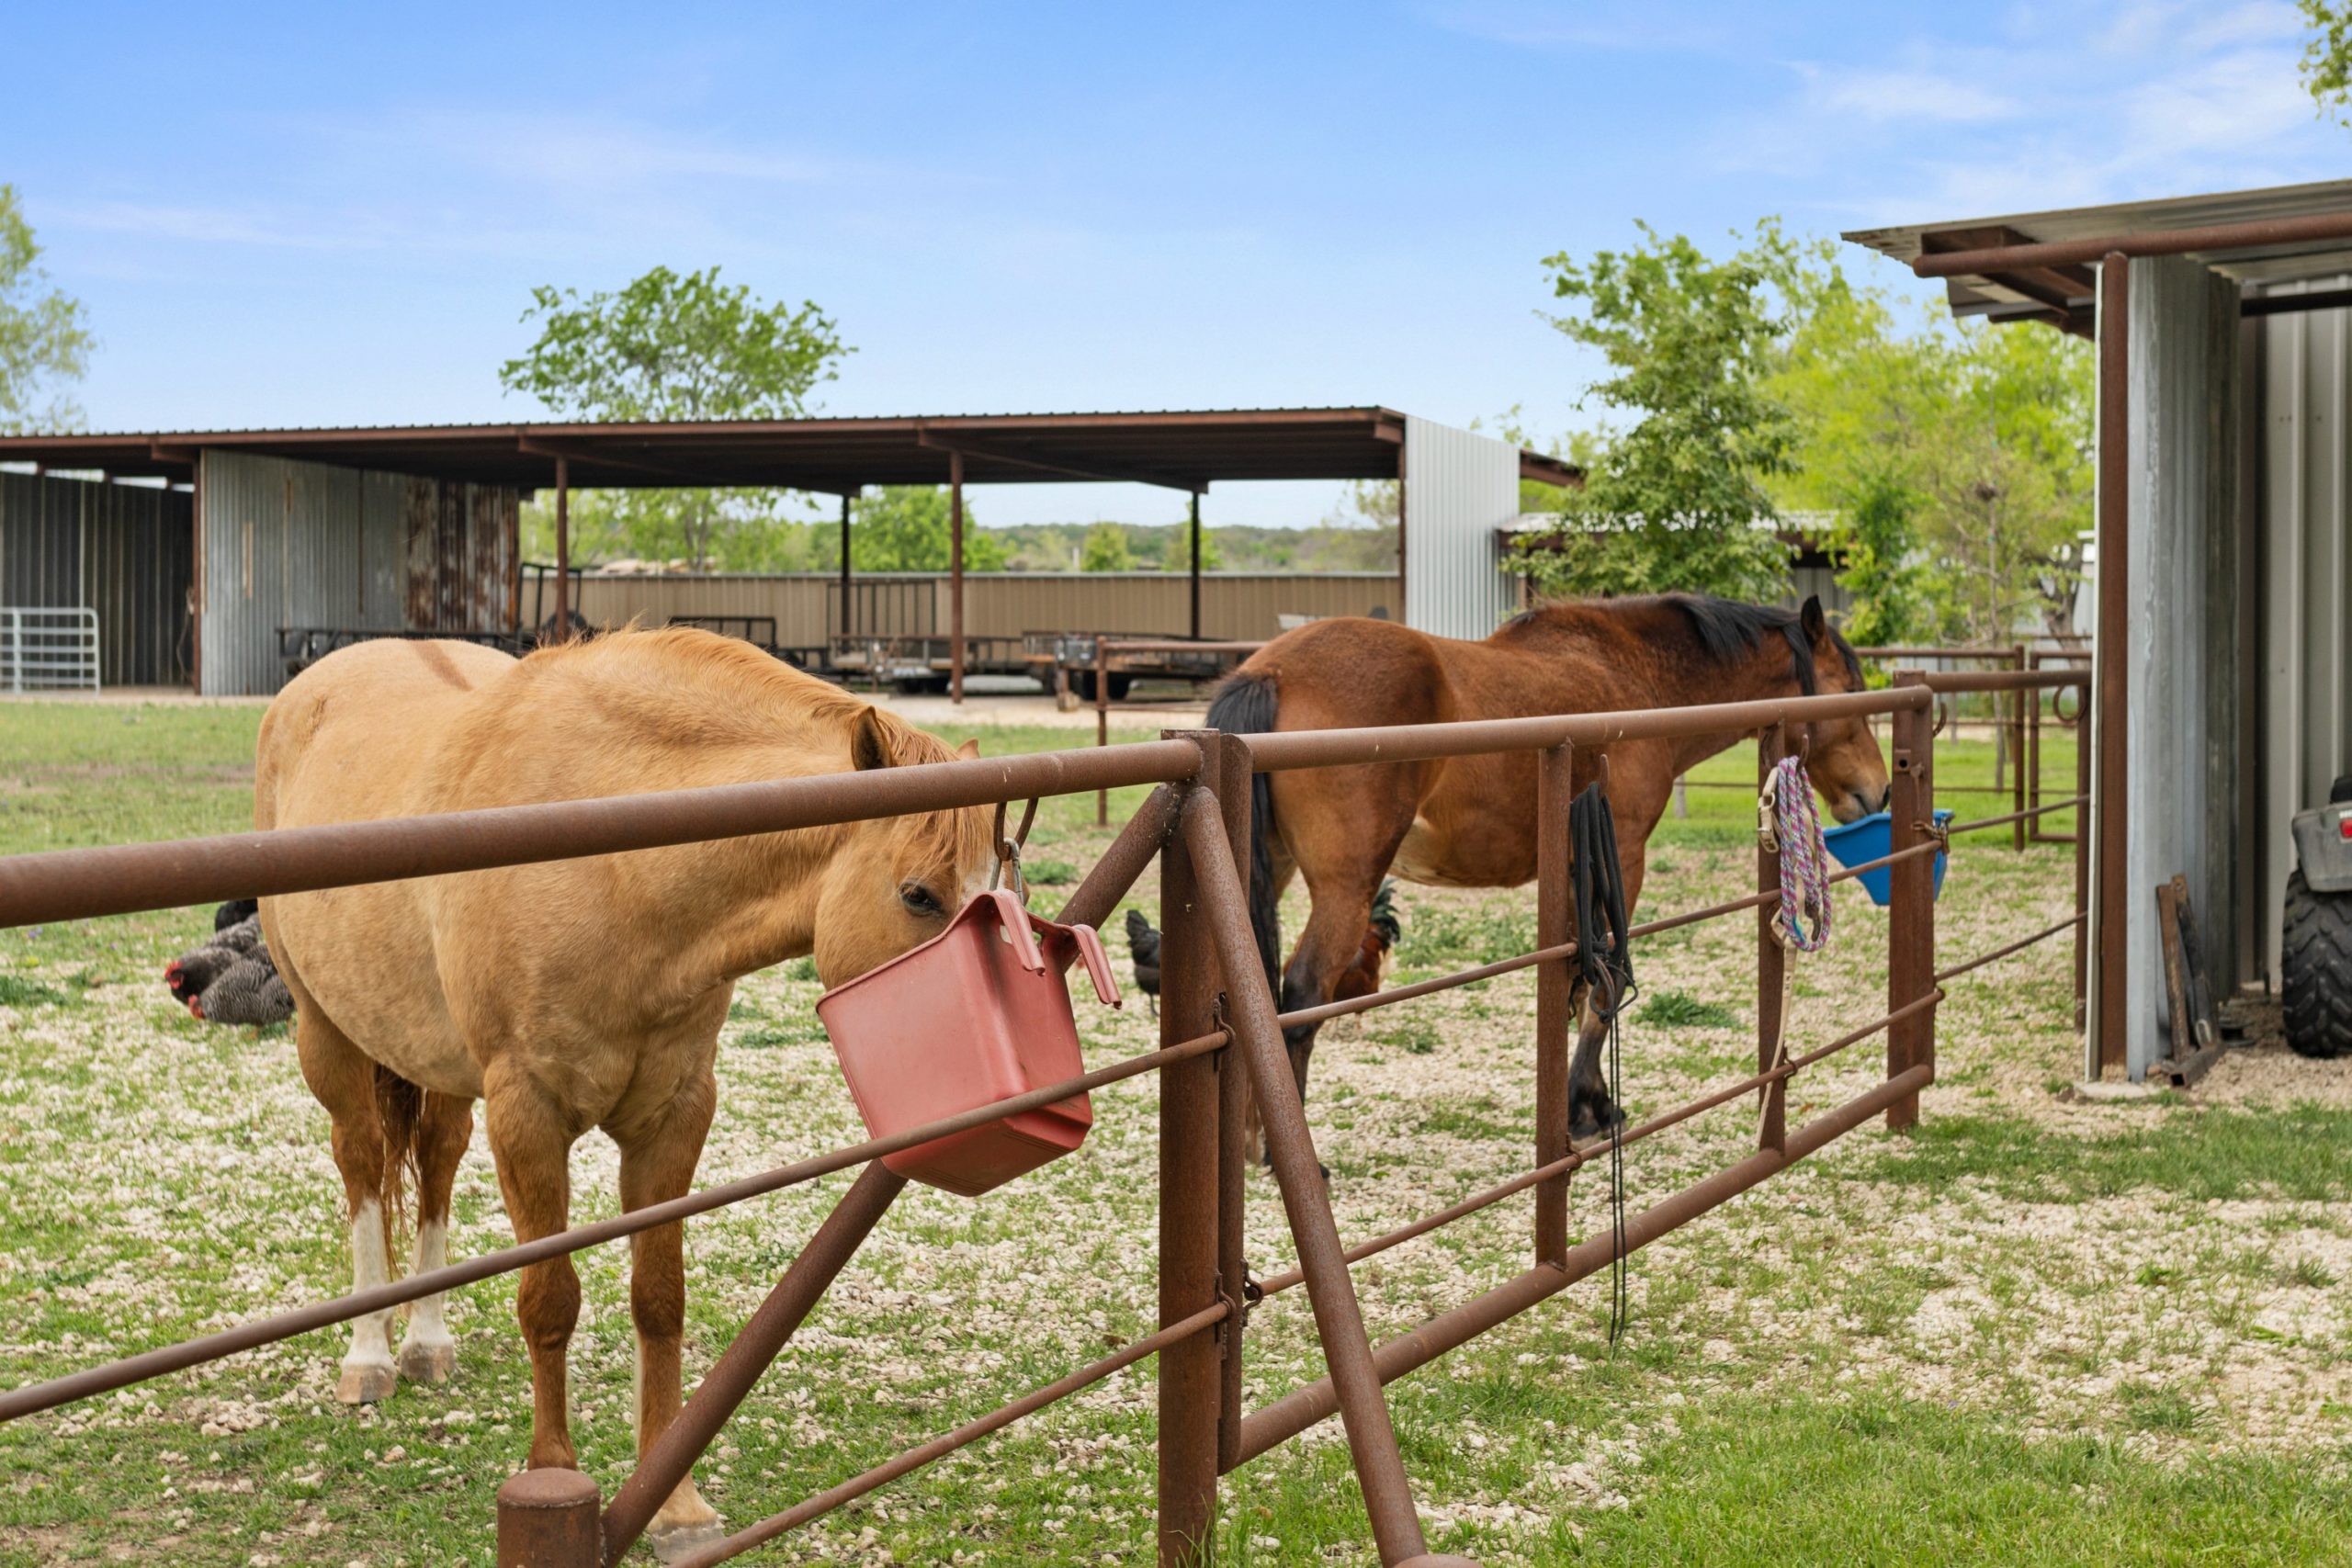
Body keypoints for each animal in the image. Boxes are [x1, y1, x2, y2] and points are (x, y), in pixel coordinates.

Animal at [257, 625, 992, 1561]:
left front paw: (674, 1504)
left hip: (439, 1069)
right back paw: (371, 1356)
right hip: (329, 1038)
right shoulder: (529, 1116)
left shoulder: (673, 1116)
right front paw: (551, 1472)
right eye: (918, 895)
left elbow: (659, 1299)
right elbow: (549, 1302)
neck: (613, 861)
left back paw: (426, 1340)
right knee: (360, 1166)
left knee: (435, 1164)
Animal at [1213, 594, 1891, 1146]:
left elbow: (1578, 973)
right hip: (1346, 889)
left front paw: (1584, 1103)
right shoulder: (1622, 856)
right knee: (1302, 994)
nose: (1878, 791)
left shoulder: (1573, 869)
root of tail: (1269, 671)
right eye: (1848, 691)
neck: (1634, 677)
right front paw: (1586, 1108)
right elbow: (1609, 979)